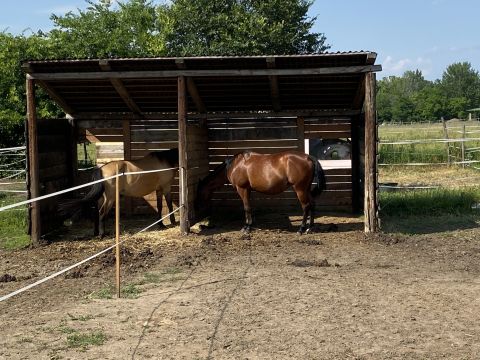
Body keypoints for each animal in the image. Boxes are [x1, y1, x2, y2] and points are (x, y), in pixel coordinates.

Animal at [195, 149, 326, 233]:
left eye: (199, 191)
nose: (197, 206)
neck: (235, 165)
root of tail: (308, 157)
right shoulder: (248, 190)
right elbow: (249, 207)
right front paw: (249, 225)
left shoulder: (242, 189)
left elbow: (246, 207)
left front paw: (247, 227)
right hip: (306, 189)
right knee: (312, 204)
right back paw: (310, 228)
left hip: (300, 189)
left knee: (306, 206)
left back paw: (301, 229)